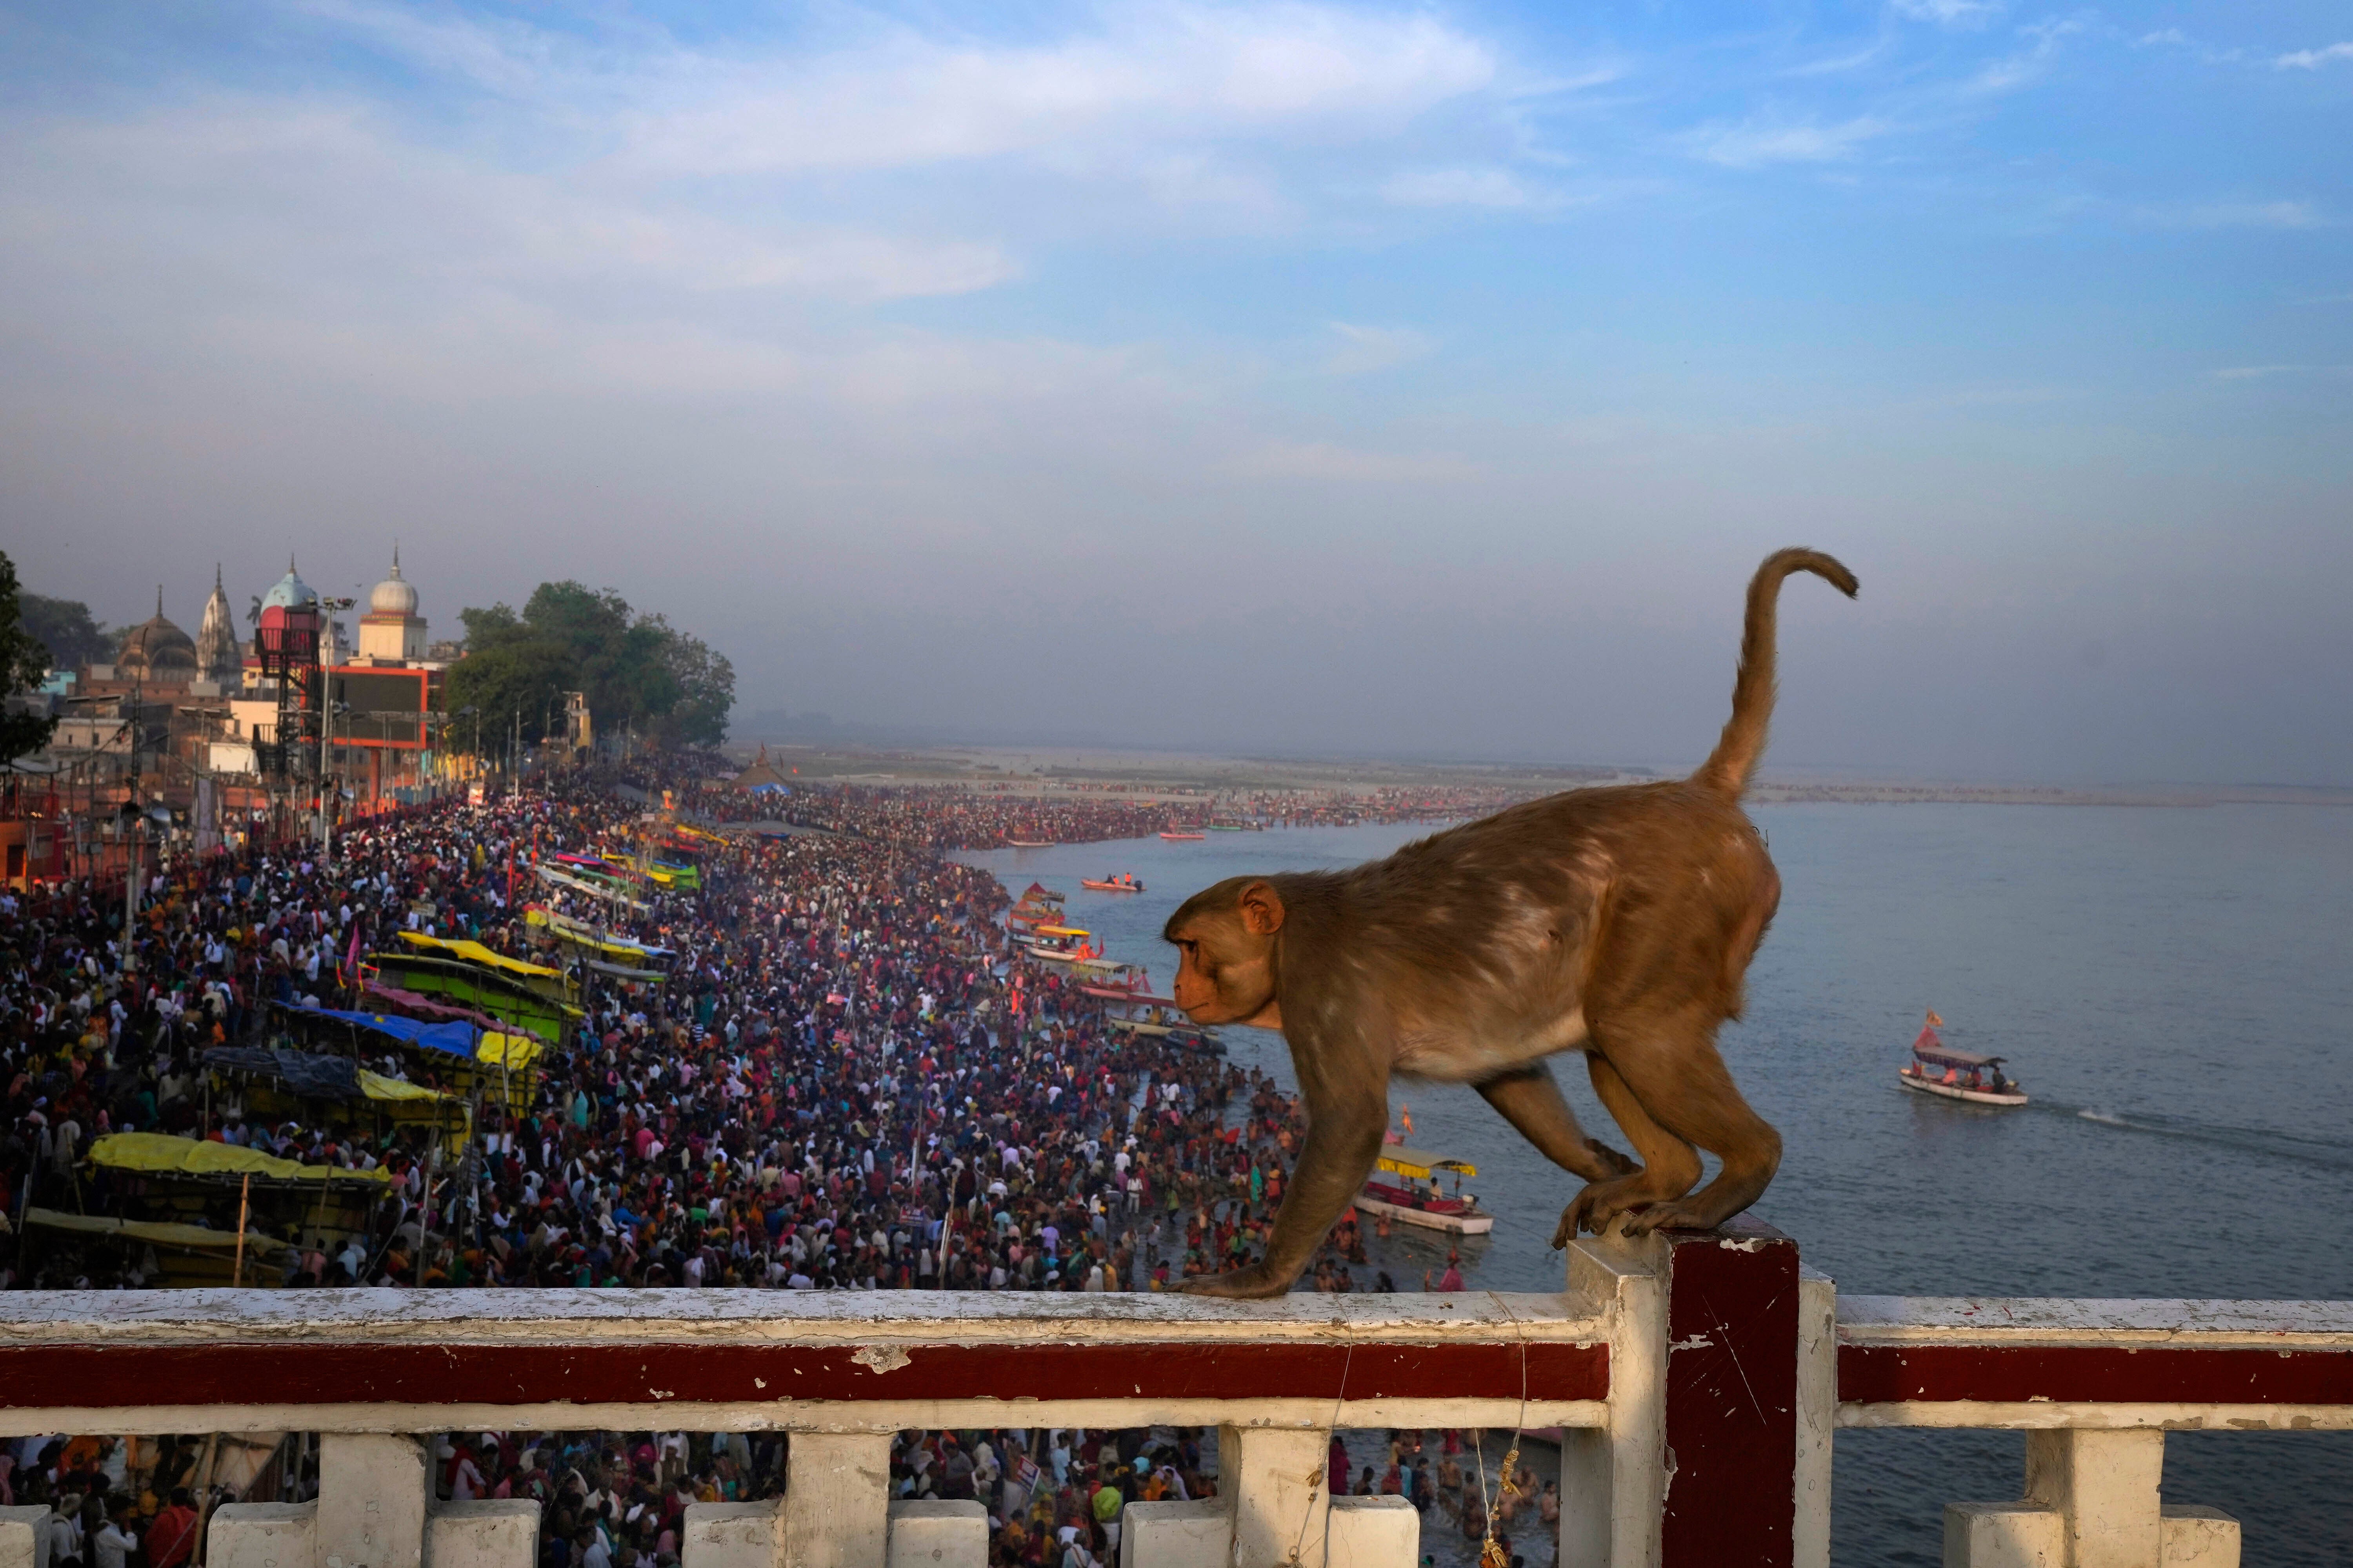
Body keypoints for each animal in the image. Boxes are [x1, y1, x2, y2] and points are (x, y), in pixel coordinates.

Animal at [1158, 549, 1854, 1290]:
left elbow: (1352, 1124)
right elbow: (1511, 1075)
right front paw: (1603, 1162)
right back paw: (1667, 1174)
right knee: (1614, 1036)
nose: (1175, 985)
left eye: (1193, 948)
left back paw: (1742, 1167)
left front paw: (1258, 1278)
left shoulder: (1323, 987)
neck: (1289, 936)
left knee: (1635, 1027)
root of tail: (1699, 794)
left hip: (1684, 903)